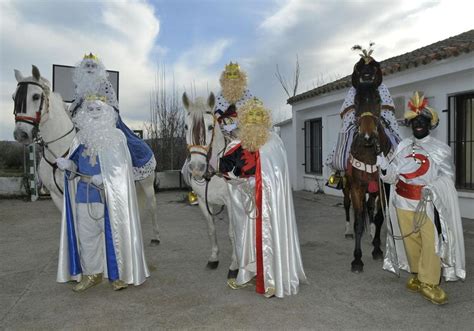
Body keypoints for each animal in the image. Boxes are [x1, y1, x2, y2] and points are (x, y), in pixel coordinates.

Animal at [12, 66, 161, 245]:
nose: (21, 134)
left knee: (152, 205)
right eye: (13, 97)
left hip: (147, 184)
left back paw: (155, 236)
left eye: (35, 96)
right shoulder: (57, 196)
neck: (60, 150)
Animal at [183, 91, 239, 278]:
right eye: (186, 126)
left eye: (209, 127)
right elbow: (211, 229)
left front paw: (235, 265)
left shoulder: (231, 203)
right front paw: (214, 258)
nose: (197, 168)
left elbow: (232, 233)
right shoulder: (203, 201)